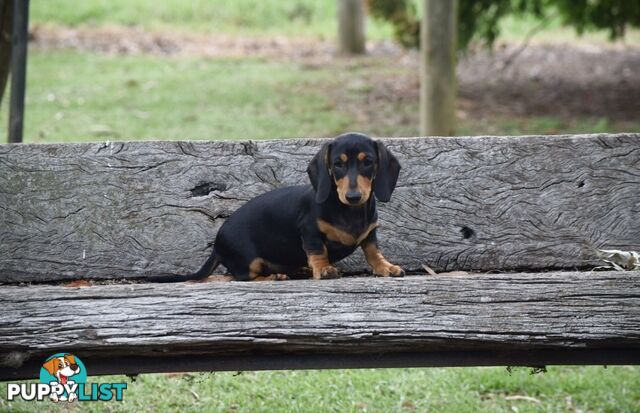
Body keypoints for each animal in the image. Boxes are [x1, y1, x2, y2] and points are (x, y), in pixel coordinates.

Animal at [151, 134, 402, 282]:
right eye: (337, 164)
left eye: (367, 162)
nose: (353, 196)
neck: (348, 212)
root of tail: (217, 245)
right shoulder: (309, 231)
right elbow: (318, 251)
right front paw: (323, 268)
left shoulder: (370, 233)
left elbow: (372, 251)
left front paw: (385, 266)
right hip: (249, 260)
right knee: (242, 277)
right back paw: (275, 276)